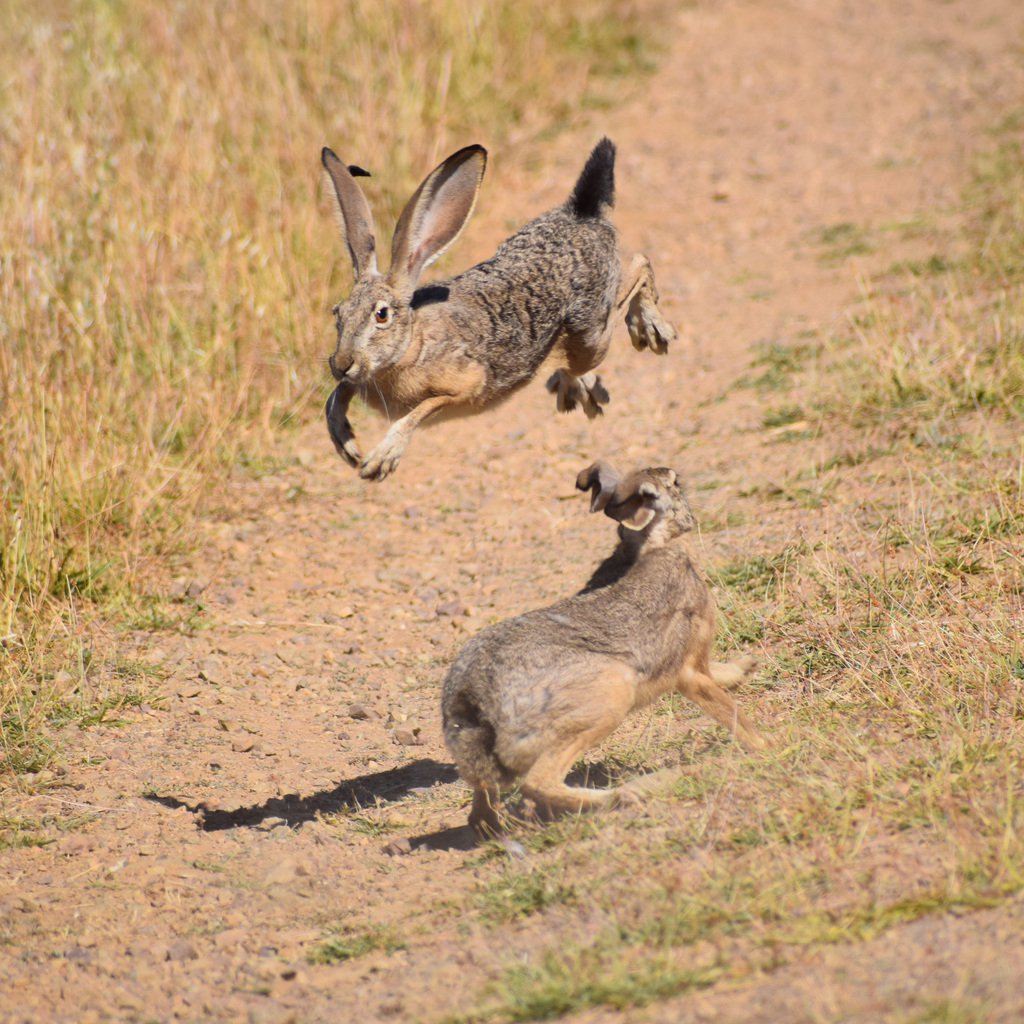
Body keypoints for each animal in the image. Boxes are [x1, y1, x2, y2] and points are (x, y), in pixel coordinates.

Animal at [321, 137, 675, 480]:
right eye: (338, 312)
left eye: (382, 315)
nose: (341, 363)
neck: (411, 345)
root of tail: (584, 216)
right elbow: (335, 395)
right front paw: (344, 441)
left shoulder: (466, 385)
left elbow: (418, 411)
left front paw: (379, 460)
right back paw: (578, 390)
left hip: (592, 334)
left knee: (639, 264)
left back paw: (652, 329)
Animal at [441, 460, 767, 835]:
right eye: (674, 482)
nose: (692, 514)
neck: (646, 546)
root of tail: (474, 705)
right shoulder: (686, 670)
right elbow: (729, 710)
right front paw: (769, 747)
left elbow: (718, 673)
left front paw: (746, 667)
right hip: (607, 698)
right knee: (537, 783)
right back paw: (630, 794)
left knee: (481, 811)